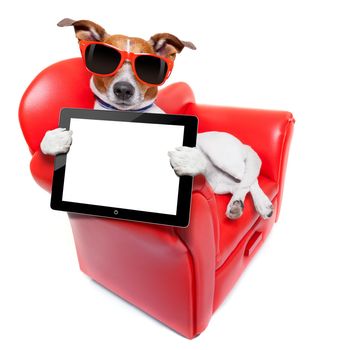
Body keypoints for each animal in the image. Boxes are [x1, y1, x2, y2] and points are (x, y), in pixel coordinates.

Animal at [41, 17, 274, 220]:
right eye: (105, 60)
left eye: (148, 66)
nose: (123, 89)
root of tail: (242, 144)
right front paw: (55, 140)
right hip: (219, 186)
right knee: (240, 185)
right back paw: (236, 204)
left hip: (222, 156)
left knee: (250, 179)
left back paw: (262, 204)